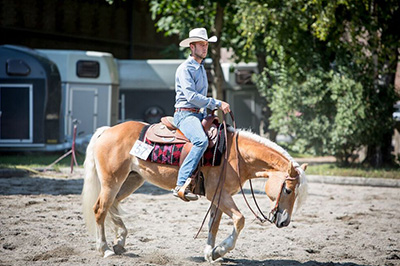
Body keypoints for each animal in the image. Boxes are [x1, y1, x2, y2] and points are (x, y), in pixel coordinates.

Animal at [80, 120, 306, 262]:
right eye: (287, 189)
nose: (284, 221)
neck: (236, 155)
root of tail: (107, 130)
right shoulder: (220, 195)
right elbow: (240, 219)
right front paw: (220, 250)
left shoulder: (220, 197)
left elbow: (213, 224)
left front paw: (210, 253)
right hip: (112, 181)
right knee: (100, 209)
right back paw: (105, 249)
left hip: (132, 179)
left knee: (113, 205)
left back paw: (120, 242)